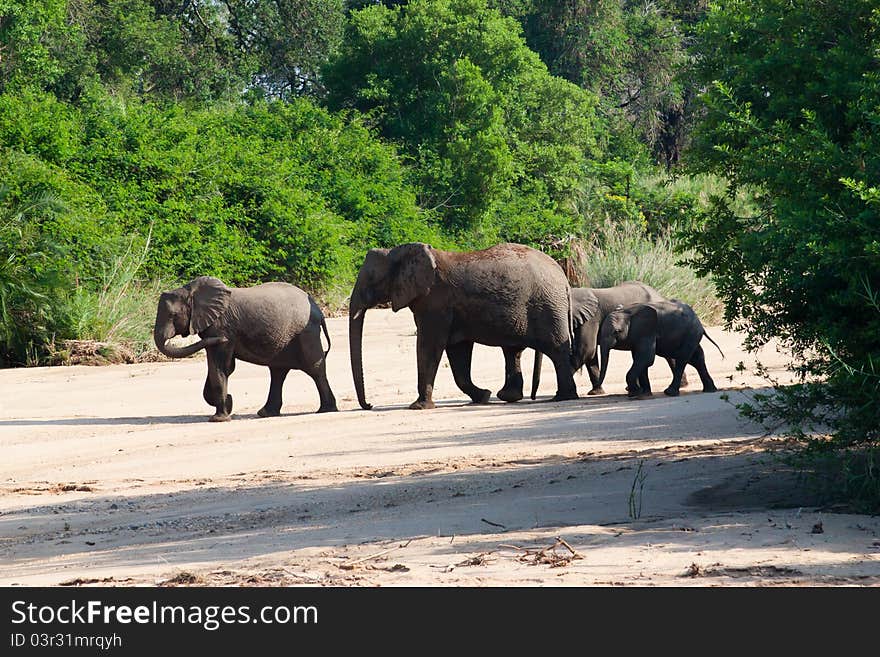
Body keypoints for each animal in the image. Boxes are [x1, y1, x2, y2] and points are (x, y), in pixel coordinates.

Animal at [152, 276, 336, 420]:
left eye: (173, 315)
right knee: (278, 372)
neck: (191, 291)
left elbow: (221, 366)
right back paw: (265, 413)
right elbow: (220, 366)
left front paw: (220, 417)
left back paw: (326, 410)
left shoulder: (223, 327)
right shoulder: (215, 332)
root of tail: (319, 310)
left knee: (314, 369)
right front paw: (228, 404)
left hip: (306, 334)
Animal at [348, 241, 580, 410]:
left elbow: (429, 346)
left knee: (555, 349)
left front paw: (418, 407)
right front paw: (483, 396)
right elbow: (457, 352)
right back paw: (508, 396)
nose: (369, 405)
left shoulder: (435, 303)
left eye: (371, 279)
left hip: (547, 307)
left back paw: (562, 397)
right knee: (513, 351)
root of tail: (564, 278)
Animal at [528, 280, 688, 398]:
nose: (533, 397)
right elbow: (590, 354)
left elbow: (586, 349)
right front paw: (596, 392)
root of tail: (661, 296)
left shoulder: (591, 318)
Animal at [596, 300, 724, 398]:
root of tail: (699, 322)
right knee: (696, 359)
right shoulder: (637, 336)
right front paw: (644, 394)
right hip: (691, 336)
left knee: (682, 359)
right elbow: (640, 360)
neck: (628, 312)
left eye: (617, 331)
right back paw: (710, 390)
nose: (596, 389)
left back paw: (670, 393)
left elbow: (646, 359)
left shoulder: (647, 331)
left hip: (691, 334)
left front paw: (636, 393)